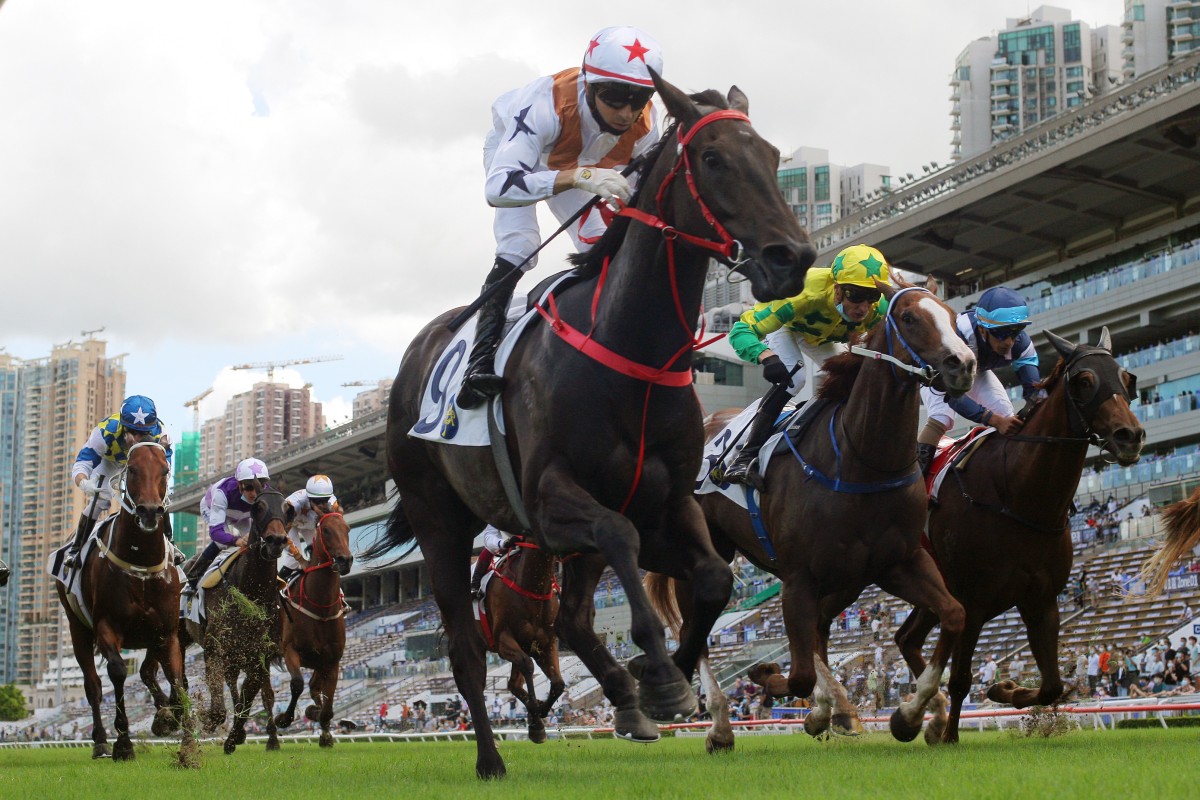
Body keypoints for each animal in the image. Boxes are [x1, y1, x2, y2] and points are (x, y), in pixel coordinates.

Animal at [54, 441, 198, 767]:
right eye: (131, 469)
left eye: (165, 469)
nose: (149, 511)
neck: (140, 562)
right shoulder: (107, 626)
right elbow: (118, 672)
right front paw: (123, 743)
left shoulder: (166, 632)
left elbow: (177, 679)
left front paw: (185, 743)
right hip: (77, 628)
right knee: (93, 686)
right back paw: (99, 741)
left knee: (147, 673)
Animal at [270, 510, 350, 748]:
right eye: (327, 530)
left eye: (348, 529)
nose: (345, 560)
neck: (320, 606)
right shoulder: (290, 650)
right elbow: (297, 684)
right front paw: (283, 718)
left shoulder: (332, 660)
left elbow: (327, 702)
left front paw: (324, 729)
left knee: (315, 687)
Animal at [477, 542, 561, 748]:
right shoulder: (503, 640)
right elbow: (528, 666)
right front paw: (537, 724)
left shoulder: (547, 643)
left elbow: (558, 683)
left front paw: (539, 713)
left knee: (514, 684)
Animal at [902, 326, 1142, 743]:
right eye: (1084, 381)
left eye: (1127, 379)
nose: (1130, 435)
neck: (1018, 494)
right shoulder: (973, 601)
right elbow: (961, 678)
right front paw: (949, 735)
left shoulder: (1041, 600)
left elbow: (1053, 686)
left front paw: (1004, 689)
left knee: (906, 638)